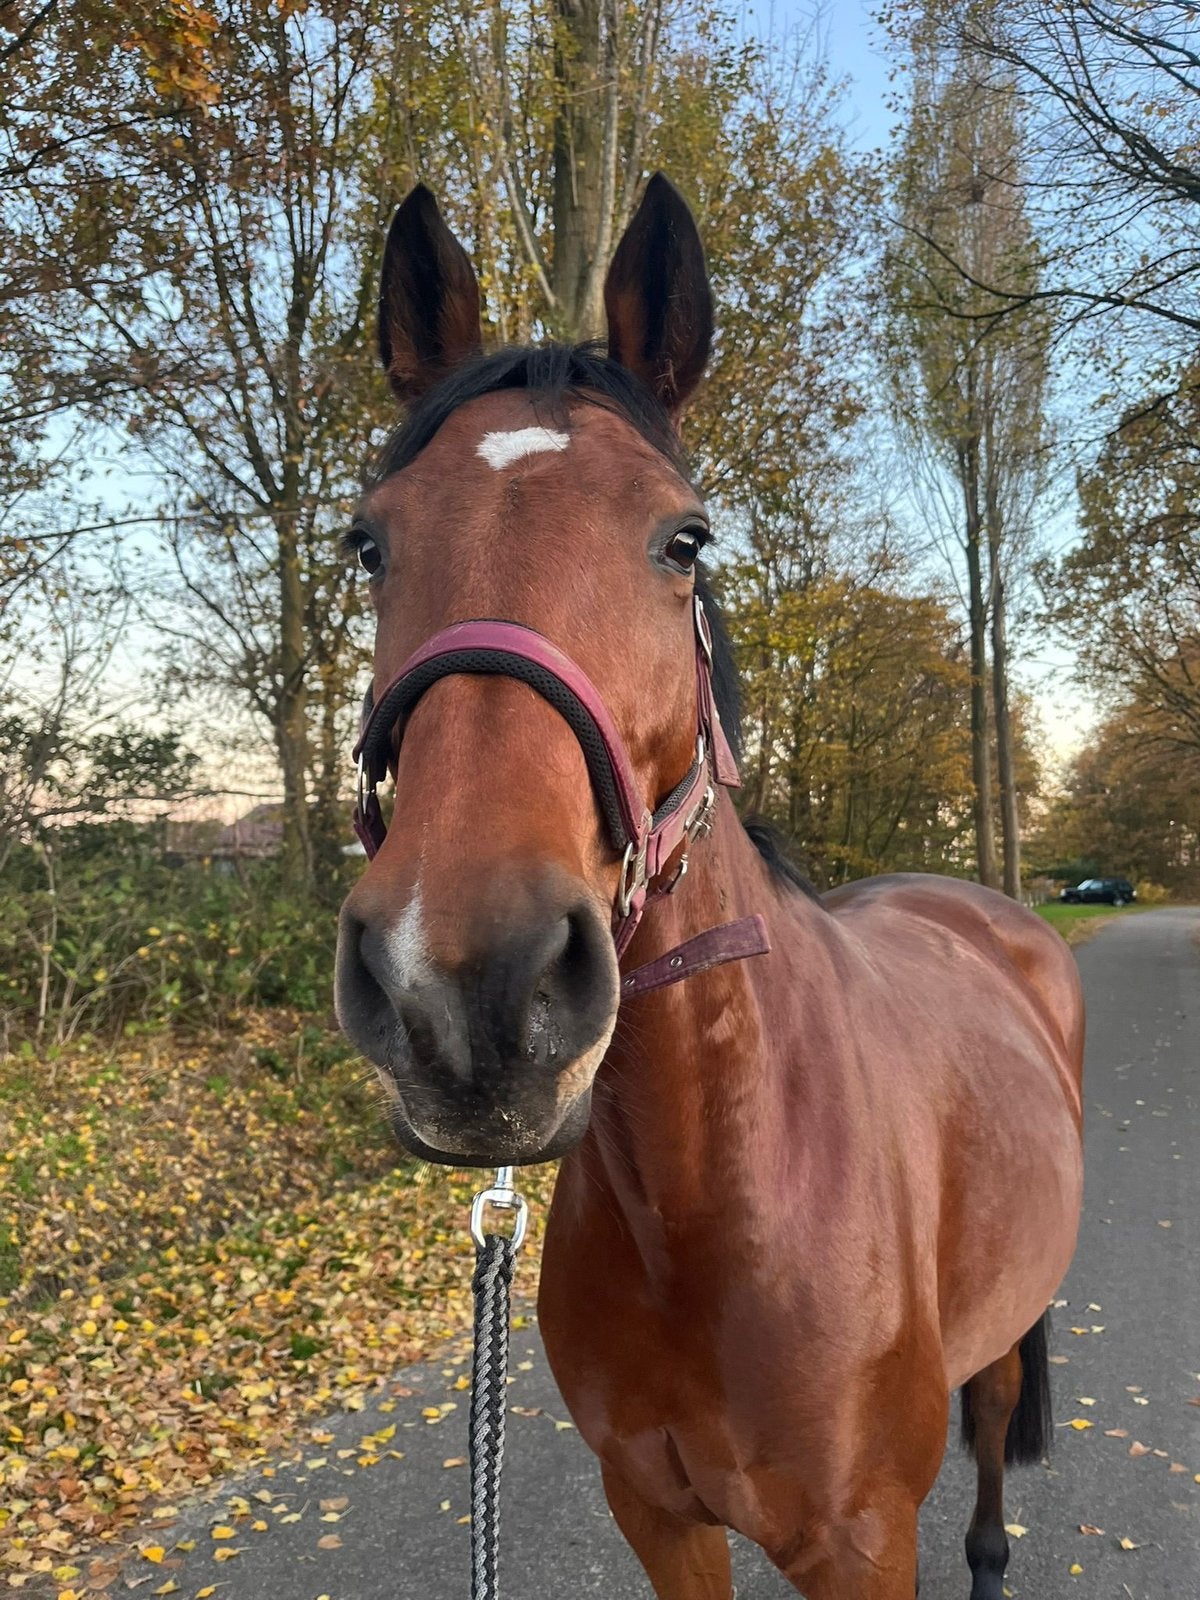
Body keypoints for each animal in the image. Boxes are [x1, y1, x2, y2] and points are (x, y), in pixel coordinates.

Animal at [335, 174, 1084, 1600]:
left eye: (684, 539)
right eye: (366, 545)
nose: (464, 983)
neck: (709, 1205)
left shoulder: (862, 1542)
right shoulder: (656, 1511)